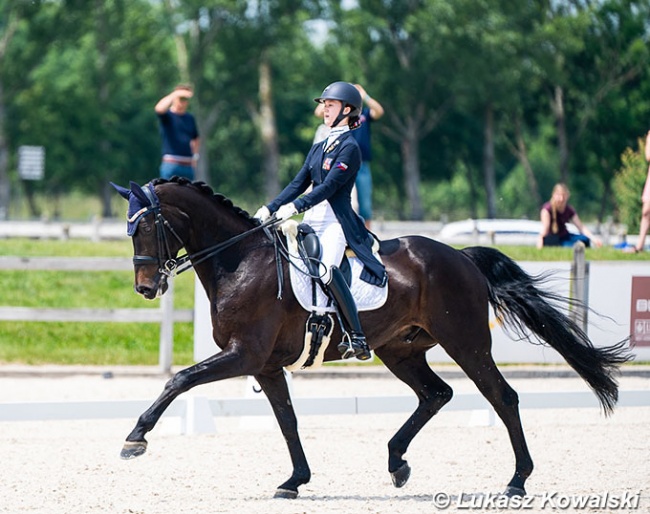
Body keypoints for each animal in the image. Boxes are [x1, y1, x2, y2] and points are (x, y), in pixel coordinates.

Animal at [110, 176, 628, 496]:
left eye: (147, 225)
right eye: (128, 229)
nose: (146, 287)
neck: (241, 261)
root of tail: (460, 256)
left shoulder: (245, 355)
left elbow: (180, 380)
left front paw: (135, 438)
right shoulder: (268, 365)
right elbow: (287, 420)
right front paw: (295, 480)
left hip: (466, 343)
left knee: (503, 397)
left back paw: (517, 480)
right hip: (401, 350)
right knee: (436, 394)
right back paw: (397, 462)